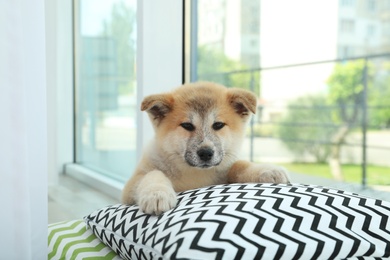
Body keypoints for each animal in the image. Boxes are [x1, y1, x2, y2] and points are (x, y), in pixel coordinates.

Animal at [122, 82, 290, 214]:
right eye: (187, 125)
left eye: (218, 125)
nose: (205, 153)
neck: (195, 174)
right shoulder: (131, 186)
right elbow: (153, 174)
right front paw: (156, 194)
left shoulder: (224, 173)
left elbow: (239, 165)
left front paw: (267, 170)